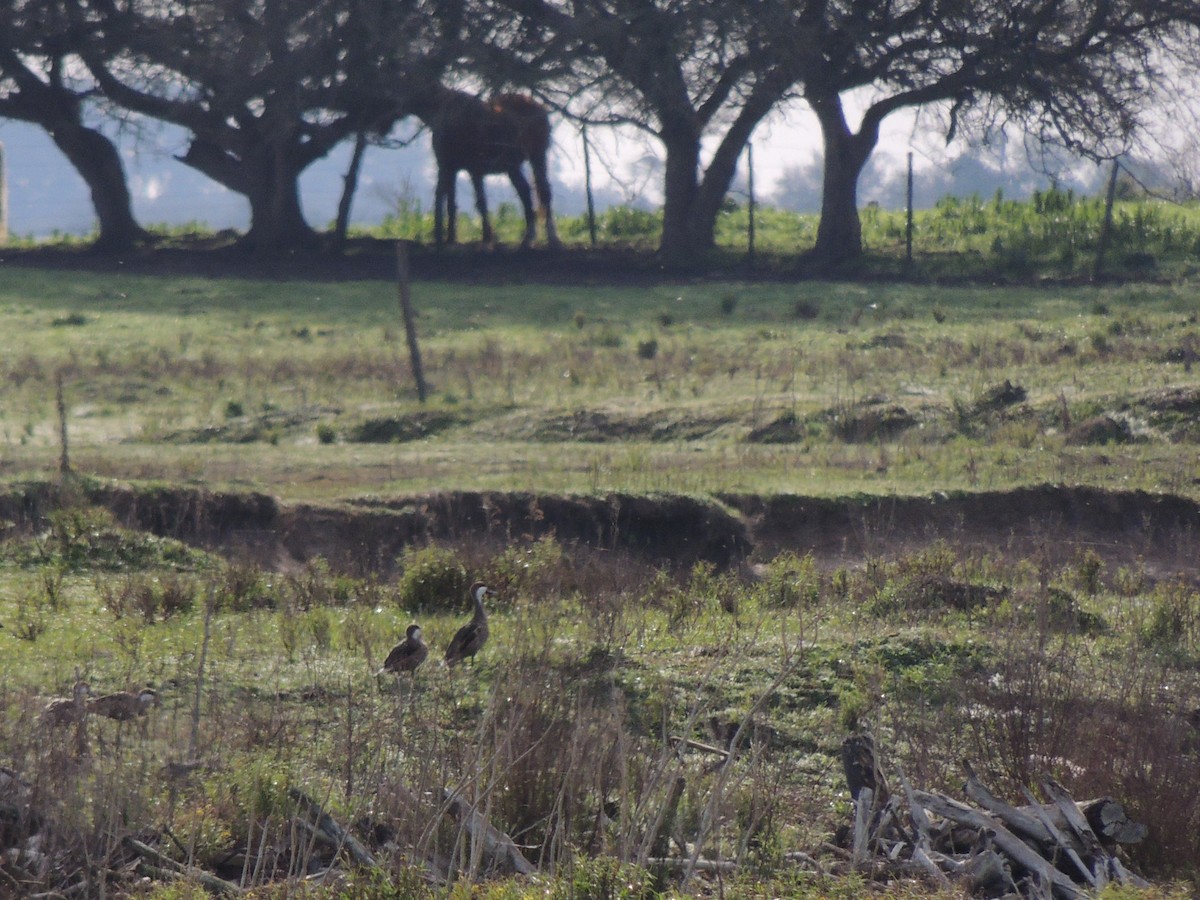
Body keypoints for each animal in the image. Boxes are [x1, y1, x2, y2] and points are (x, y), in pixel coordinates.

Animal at [405, 87, 559, 248]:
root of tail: (540, 107)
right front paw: (450, 238)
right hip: (517, 166)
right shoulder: (452, 168)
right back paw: (530, 239)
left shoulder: (468, 169)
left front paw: (486, 237)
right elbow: (451, 200)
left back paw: (549, 238)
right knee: (529, 192)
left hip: (536, 157)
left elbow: (476, 201)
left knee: (540, 192)